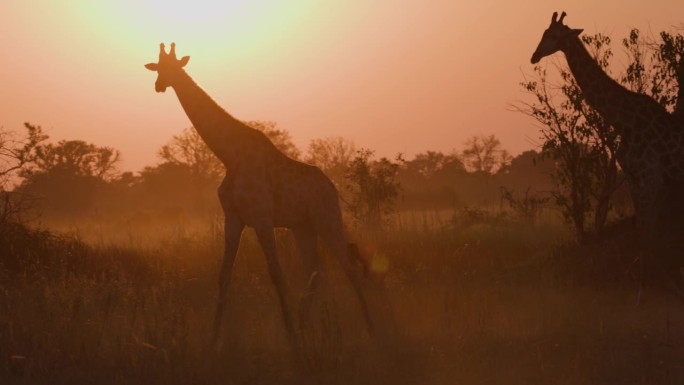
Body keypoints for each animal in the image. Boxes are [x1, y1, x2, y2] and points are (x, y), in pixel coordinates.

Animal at [141, 43, 372, 346]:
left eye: (173, 67)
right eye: (157, 66)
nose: (159, 85)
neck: (230, 156)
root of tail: (333, 188)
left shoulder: (262, 218)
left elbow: (277, 275)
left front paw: (292, 342)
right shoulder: (233, 218)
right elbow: (224, 276)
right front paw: (213, 340)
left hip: (327, 219)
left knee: (350, 267)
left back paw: (373, 331)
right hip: (303, 226)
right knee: (315, 271)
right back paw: (306, 325)